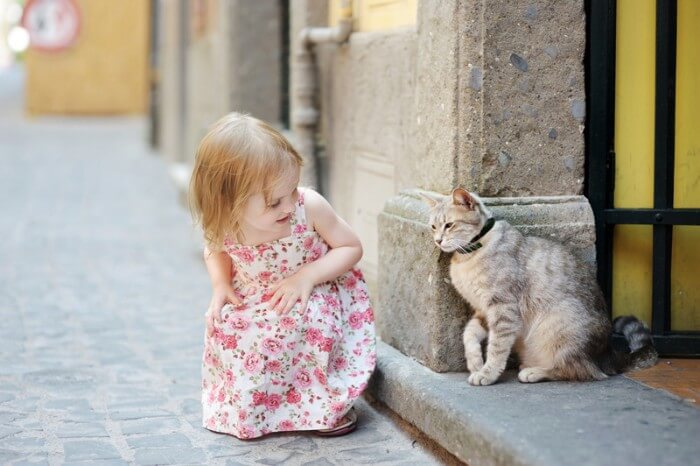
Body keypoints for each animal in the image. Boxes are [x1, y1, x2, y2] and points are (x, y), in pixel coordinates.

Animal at [424, 187, 660, 386]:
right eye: (433, 227)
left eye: (449, 225)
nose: (437, 240)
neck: (471, 253)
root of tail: (609, 355)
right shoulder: (483, 310)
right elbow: (469, 334)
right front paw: (475, 363)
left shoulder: (503, 308)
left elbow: (496, 348)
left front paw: (487, 373)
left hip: (561, 329)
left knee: (580, 371)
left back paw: (535, 372)